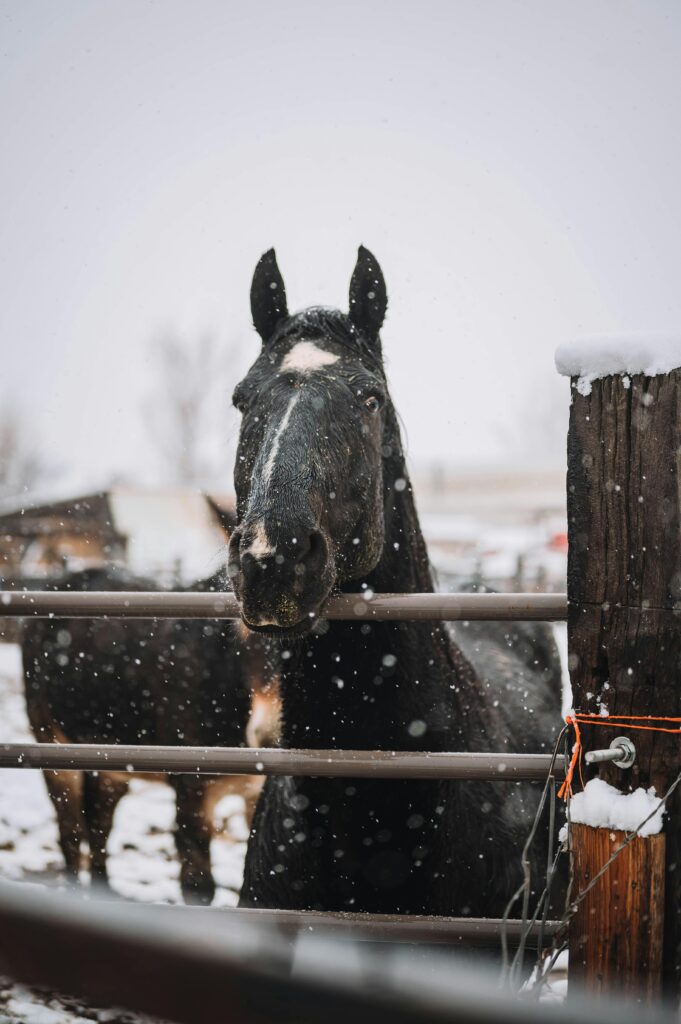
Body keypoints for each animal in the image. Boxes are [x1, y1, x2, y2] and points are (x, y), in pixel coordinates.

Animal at [21, 565, 277, 904]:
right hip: (52, 747)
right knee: (71, 833)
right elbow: (198, 885)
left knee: (98, 824)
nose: (270, 735)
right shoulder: (191, 791)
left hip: (109, 764)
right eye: (252, 629)